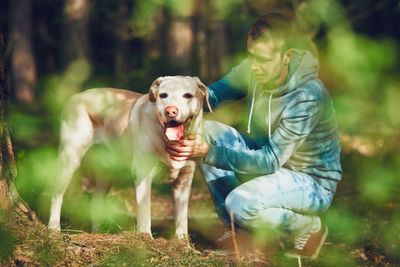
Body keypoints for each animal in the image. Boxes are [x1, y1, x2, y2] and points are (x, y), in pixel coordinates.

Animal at [48, 76, 211, 241]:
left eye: (187, 95)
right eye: (163, 95)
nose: (170, 111)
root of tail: (75, 96)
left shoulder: (184, 181)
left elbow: (182, 219)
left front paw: (184, 243)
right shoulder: (143, 174)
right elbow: (145, 212)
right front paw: (146, 238)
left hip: (107, 173)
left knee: (96, 202)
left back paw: (97, 233)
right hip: (70, 159)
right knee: (57, 195)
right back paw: (53, 227)